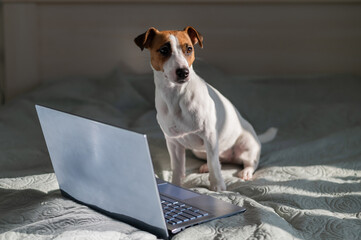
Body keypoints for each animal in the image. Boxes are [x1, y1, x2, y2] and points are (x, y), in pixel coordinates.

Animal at [134, 26, 278, 191]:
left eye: (189, 49)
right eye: (164, 49)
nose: (183, 72)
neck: (175, 95)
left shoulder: (209, 135)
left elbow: (215, 165)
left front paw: (218, 186)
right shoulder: (173, 142)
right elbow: (177, 169)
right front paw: (175, 186)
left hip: (246, 145)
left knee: (247, 162)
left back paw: (245, 172)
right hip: (200, 151)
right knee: (217, 160)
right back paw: (206, 166)